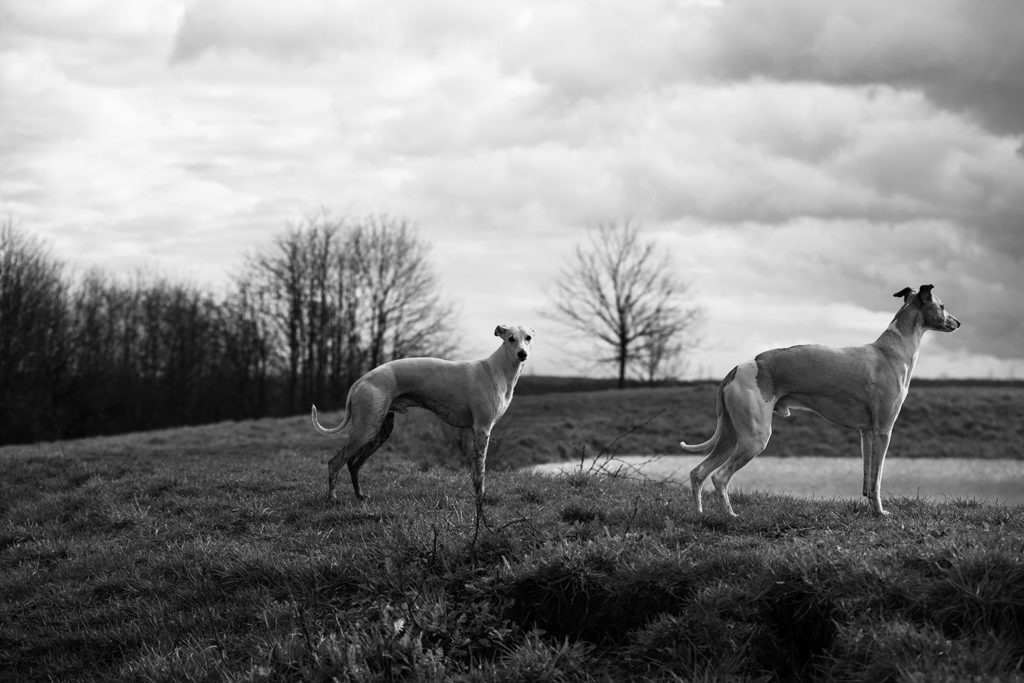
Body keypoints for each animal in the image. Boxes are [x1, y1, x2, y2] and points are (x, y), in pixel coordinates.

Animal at [311, 323, 536, 505]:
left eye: (528, 337)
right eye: (510, 338)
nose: (522, 354)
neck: (497, 370)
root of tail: (361, 381)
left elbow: (475, 472)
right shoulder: (482, 429)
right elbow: (480, 471)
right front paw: (480, 500)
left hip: (380, 431)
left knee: (353, 464)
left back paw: (359, 496)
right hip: (366, 429)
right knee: (335, 462)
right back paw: (332, 498)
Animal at [679, 286, 958, 516]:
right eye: (943, 305)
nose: (958, 322)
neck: (892, 350)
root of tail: (736, 369)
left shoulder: (867, 433)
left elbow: (868, 480)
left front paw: (870, 510)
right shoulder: (883, 430)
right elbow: (877, 480)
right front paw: (881, 514)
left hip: (731, 436)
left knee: (698, 472)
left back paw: (700, 514)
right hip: (754, 438)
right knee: (720, 477)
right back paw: (731, 516)